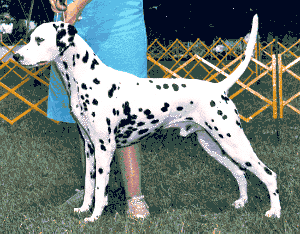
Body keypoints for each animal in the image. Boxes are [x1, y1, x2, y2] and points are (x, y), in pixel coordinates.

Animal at [13, 14, 282, 221]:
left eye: (39, 39)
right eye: (31, 38)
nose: (16, 56)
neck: (86, 78)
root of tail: (219, 88)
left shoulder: (104, 148)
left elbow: (100, 189)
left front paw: (94, 217)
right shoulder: (89, 147)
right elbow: (89, 186)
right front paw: (83, 209)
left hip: (235, 143)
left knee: (269, 175)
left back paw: (275, 212)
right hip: (214, 146)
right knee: (240, 173)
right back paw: (242, 202)